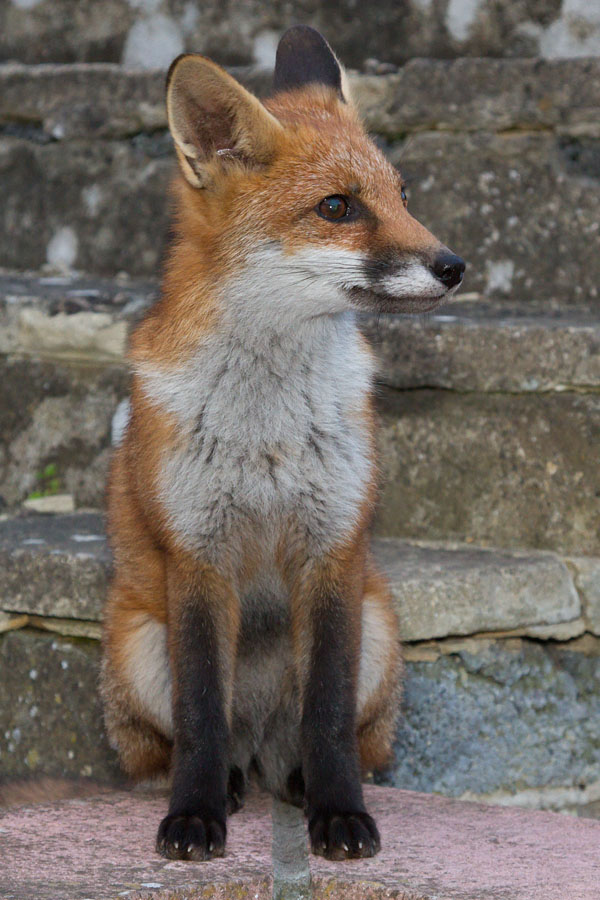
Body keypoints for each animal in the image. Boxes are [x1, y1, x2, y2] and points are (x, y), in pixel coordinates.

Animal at [100, 25, 465, 863]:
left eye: (403, 196)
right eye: (338, 207)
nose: (454, 266)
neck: (264, 428)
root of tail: (263, 746)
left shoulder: (331, 550)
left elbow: (326, 718)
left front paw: (340, 815)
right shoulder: (198, 555)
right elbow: (202, 717)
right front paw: (194, 817)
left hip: (377, 629)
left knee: (329, 739)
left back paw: (295, 785)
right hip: (137, 644)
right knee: (186, 748)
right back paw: (232, 789)